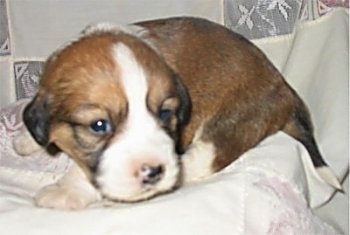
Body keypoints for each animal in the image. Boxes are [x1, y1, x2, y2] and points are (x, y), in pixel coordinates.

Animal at [13, 17, 340, 210]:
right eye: (99, 125)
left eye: (165, 114)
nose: (153, 172)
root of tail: (285, 88)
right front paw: (28, 139)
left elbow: (83, 171)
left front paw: (65, 191)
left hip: (226, 130)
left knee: (196, 164)